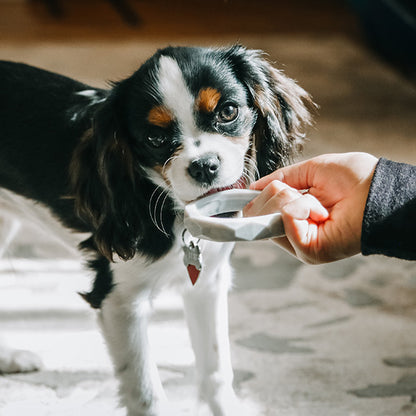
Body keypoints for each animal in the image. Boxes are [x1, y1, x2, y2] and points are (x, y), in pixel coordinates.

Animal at [0, 46, 312, 416]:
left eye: (228, 111)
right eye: (155, 138)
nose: (205, 166)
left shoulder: (208, 284)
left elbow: (217, 368)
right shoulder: (119, 303)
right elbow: (147, 393)